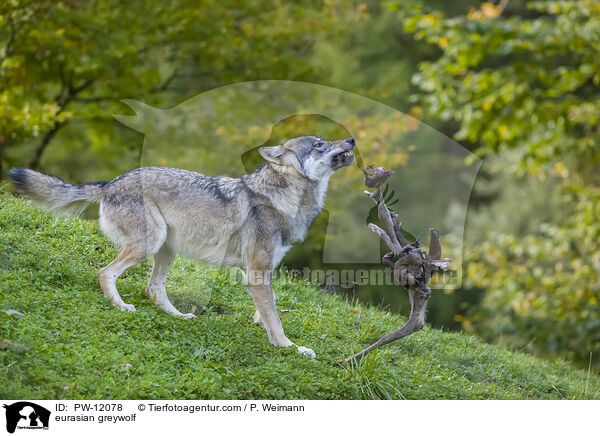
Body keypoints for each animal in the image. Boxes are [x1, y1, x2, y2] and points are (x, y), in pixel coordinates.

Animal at [7, 136, 354, 358]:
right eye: (319, 144)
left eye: (327, 139)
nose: (351, 140)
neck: (285, 199)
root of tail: (110, 182)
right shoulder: (256, 271)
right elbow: (277, 319)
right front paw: (289, 347)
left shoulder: (257, 272)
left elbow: (269, 307)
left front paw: (262, 324)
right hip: (150, 244)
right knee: (106, 273)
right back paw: (121, 306)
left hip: (166, 249)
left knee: (153, 289)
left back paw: (178, 316)